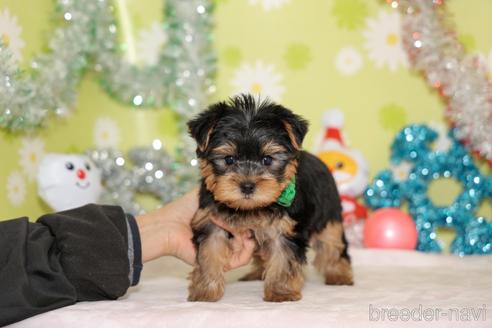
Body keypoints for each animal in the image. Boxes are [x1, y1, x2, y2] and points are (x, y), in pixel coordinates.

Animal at [186, 94, 352, 302]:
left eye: (267, 160)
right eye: (229, 159)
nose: (247, 186)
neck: (250, 208)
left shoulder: (284, 229)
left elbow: (283, 260)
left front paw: (281, 292)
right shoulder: (211, 221)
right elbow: (209, 253)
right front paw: (205, 291)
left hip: (328, 214)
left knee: (332, 244)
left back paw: (339, 274)